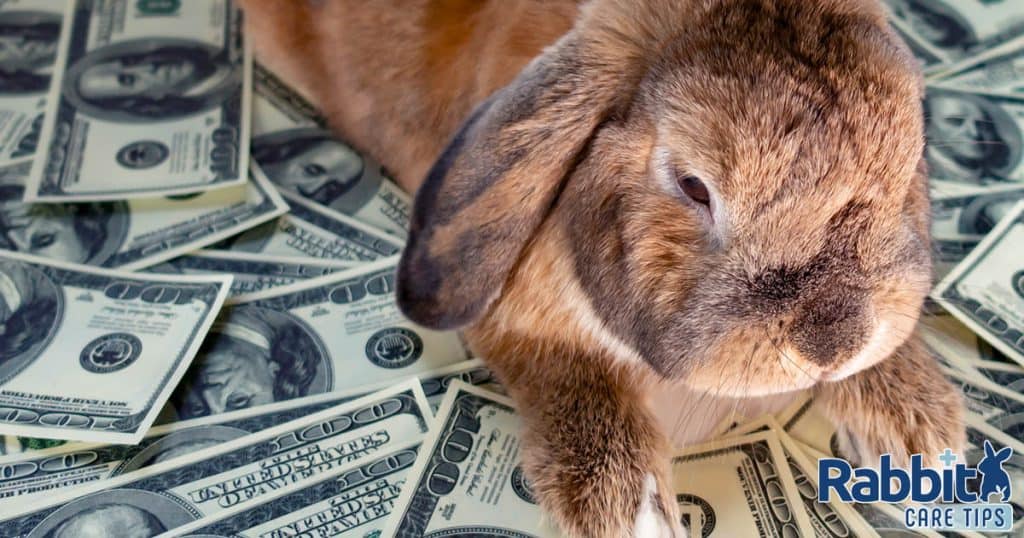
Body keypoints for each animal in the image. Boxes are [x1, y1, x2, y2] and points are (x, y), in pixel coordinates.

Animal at [239, 0, 966, 535]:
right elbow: (575, 379)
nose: (831, 343)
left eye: (910, 160)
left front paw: (921, 439)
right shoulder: (519, 322)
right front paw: (633, 513)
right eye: (694, 187)